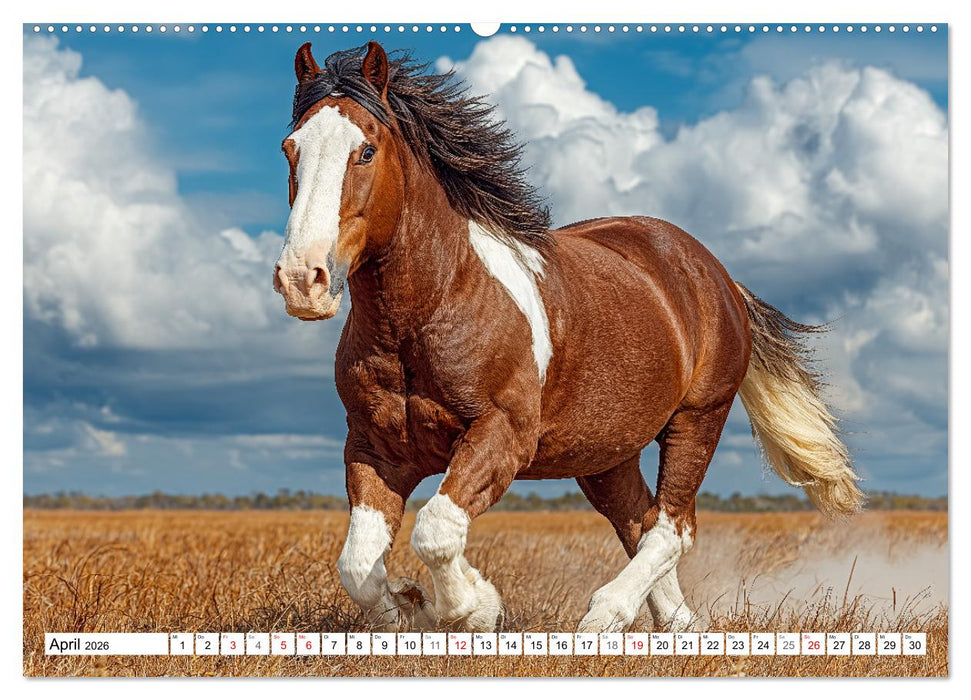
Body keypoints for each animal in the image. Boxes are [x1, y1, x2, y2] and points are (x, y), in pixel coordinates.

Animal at [273, 41, 864, 633]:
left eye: (366, 151)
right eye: (290, 149)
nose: (303, 279)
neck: (425, 316)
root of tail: (719, 277)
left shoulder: (502, 436)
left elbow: (436, 530)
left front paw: (475, 608)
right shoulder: (375, 448)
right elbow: (358, 567)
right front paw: (412, 605)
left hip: (698, 419)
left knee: (673, 527)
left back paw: (604, 616)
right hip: (606, 454)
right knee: (640, 523)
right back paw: (675, 627)